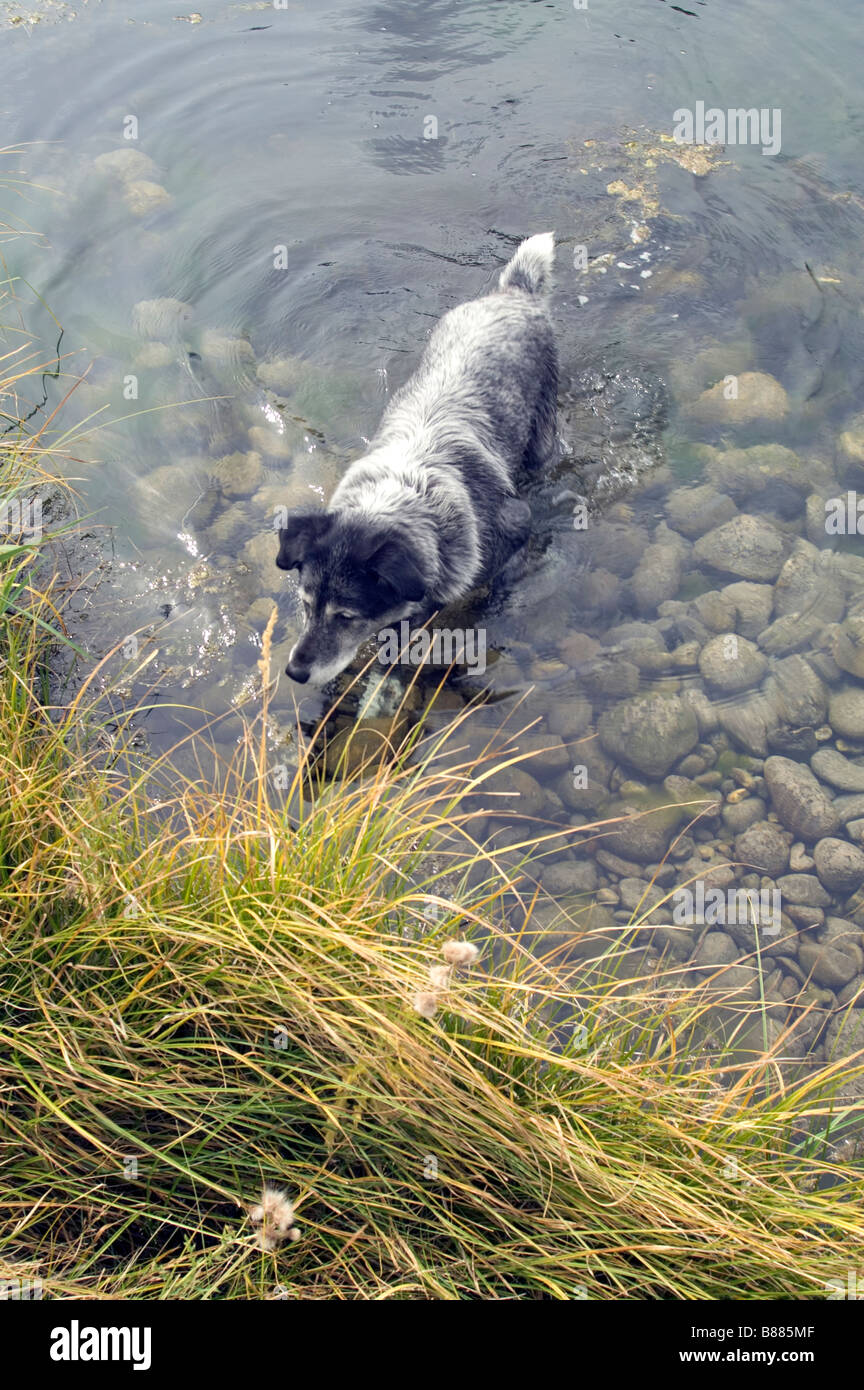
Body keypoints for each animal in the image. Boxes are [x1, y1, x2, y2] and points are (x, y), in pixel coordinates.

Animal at [277, 230, 561, 686]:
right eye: (305, 604)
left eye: (346, 617)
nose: (294, 672)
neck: (407, 495)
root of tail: (514, 293)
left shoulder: (514, 527)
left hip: (544, 433)